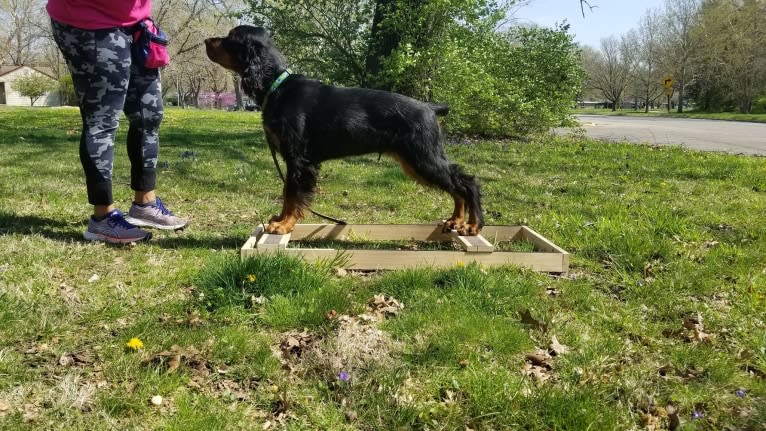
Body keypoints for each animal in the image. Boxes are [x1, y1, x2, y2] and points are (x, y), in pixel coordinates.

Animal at [201, 26, 484, 236]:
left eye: (230, 38)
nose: (206, 40)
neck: (277, 86)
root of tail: (429, 108)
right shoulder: (295, 161)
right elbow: (286, 192)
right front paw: (280, 219)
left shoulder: (299, 160)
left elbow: (292, 194)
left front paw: (284, 225)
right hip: (417, 160)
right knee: (456, 183)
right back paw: (456, 220)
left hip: (422, 157)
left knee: (467, 181)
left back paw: (472, 224)